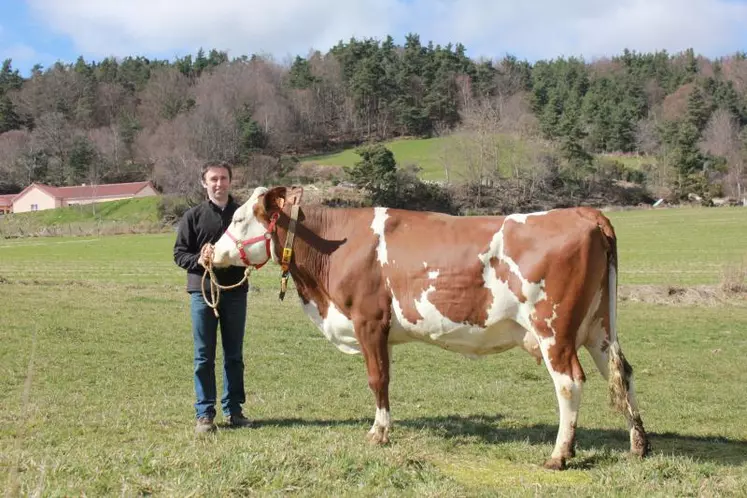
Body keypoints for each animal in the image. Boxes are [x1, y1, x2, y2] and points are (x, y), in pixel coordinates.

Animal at [209, 185, 648, 468]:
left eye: (239, 217)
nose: (209, 252)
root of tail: (583, 212)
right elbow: (384, 379)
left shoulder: (369, 321)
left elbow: (378, 379)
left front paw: (379, 432)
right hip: (597, 327)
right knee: (622, 372)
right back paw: (638, 444)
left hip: (553, 329)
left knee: (569, 382)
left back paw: (559, 454)